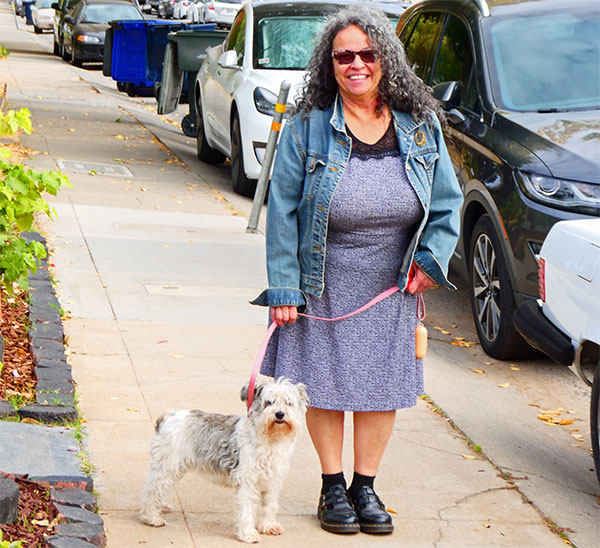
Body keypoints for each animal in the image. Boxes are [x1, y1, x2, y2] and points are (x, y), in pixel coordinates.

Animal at [139, 376, 310, 544]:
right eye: (269, 402)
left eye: (288, 402)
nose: (280, 414)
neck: (270, 439)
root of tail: (169, 416)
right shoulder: (248, 481)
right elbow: (247, 509)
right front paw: (248, 534)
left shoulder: (273, 480)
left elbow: (270, 505)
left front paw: (268, 526)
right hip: (167, 466)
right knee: (152, 490)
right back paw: (151, 517)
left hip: (172, 468)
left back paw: (160, 507)